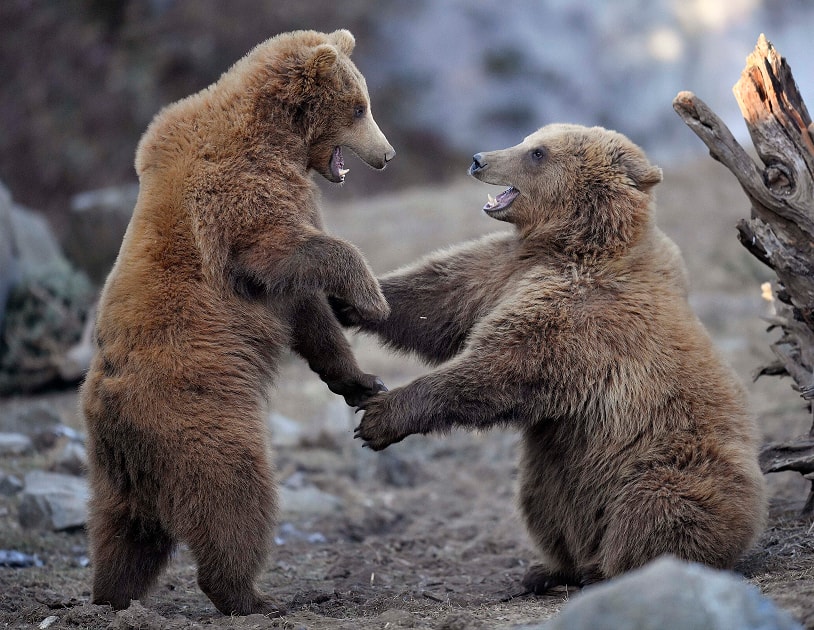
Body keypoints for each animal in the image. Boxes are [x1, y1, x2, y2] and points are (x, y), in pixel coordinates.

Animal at [80, 28, 396, 616]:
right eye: (360, 106)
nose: (387, 154)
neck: (279, 138)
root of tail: (110, 410)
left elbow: (308, 316)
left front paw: (364, 382)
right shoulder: (239, 192)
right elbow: (283, 251)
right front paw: (371, 299)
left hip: (115, 469)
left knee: (124, 534)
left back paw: (111, 598)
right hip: (198, 418)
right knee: (235, 498)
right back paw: (252, 595)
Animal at [340, 123, 772, 592]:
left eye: (537, 153)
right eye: (529, 140)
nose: (478, 159)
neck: (573, 244)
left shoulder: (580, 313)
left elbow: (502, 366)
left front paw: (380, 416)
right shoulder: (502, 270)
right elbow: (433, 301)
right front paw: (343, 296)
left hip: (669, 463)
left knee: (658, 510)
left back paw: (612, 570)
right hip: (554, 472)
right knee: (543, 502)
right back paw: (550, 569)